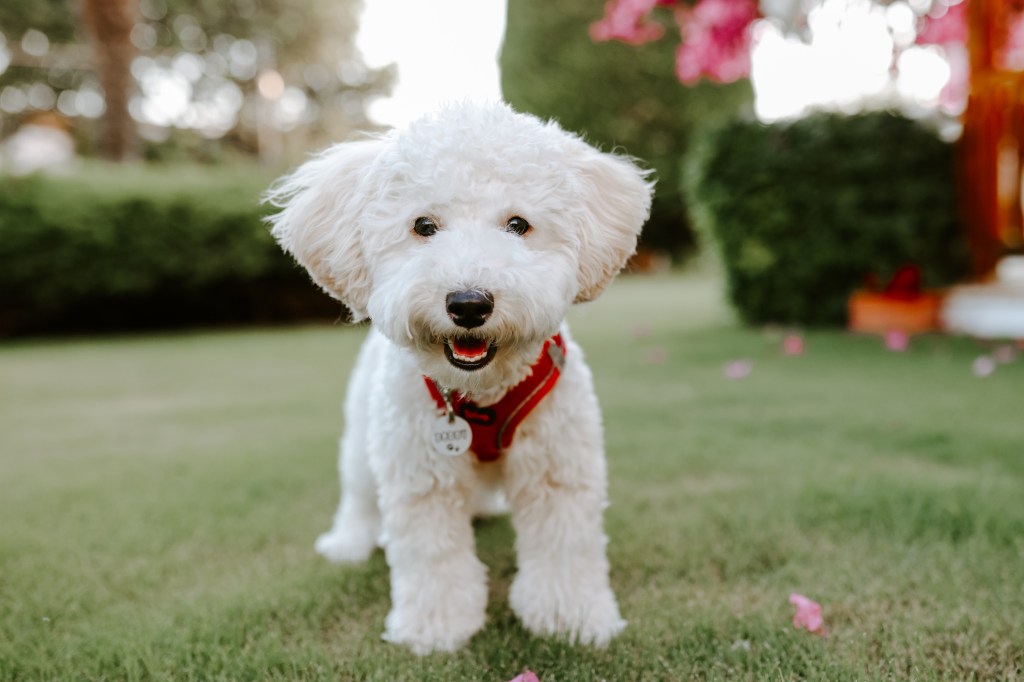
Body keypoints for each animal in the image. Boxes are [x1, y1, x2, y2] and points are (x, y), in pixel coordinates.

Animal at [262, 102, 647, 655]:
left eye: (518, 224)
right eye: (424, 225)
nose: (469, 303)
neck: (480, 393)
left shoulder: (557, 467)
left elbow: (565, 545)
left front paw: (569, 619)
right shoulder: (422, 475)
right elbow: (433, 556)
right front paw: (436, 627)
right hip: (362, 438)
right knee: (358, 493)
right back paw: (348, 544)